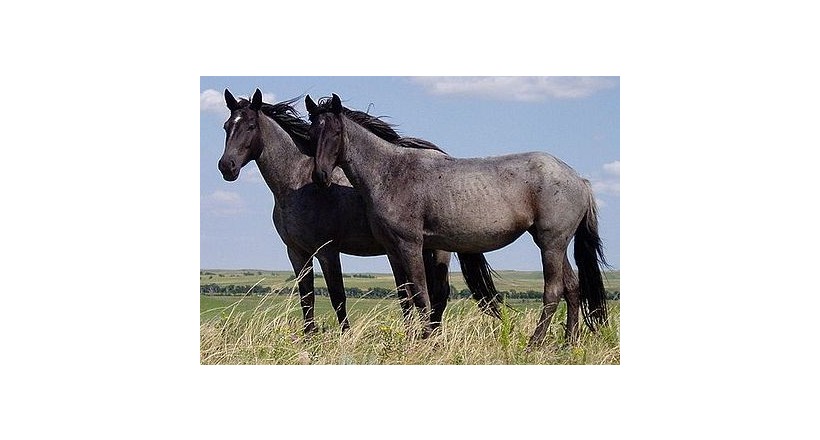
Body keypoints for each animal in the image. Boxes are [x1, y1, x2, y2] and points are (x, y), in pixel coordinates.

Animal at [217, 89, 502, 334]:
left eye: (250, 127)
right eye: (227, 126)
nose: (226, 166)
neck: (295, 185)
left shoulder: (328, 251)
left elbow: (338, 297)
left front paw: (344, 336)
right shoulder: (297, 253)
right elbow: (306, 298)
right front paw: (309, 337)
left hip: (438, 249)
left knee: (439, 295)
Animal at [306, 93, 608, 346]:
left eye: (336, 132)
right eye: (311, 133)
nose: (320, 177)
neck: (390, 173)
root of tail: (578, 179)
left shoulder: (411, 245)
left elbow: (421, 294)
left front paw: (426, 340)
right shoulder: (392, 249)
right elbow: (405, 296)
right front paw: (410, 338)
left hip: (551, 244)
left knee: (553, 291)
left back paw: (535, 343)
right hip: (555, 244)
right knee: (572, 288)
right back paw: (569, 342)